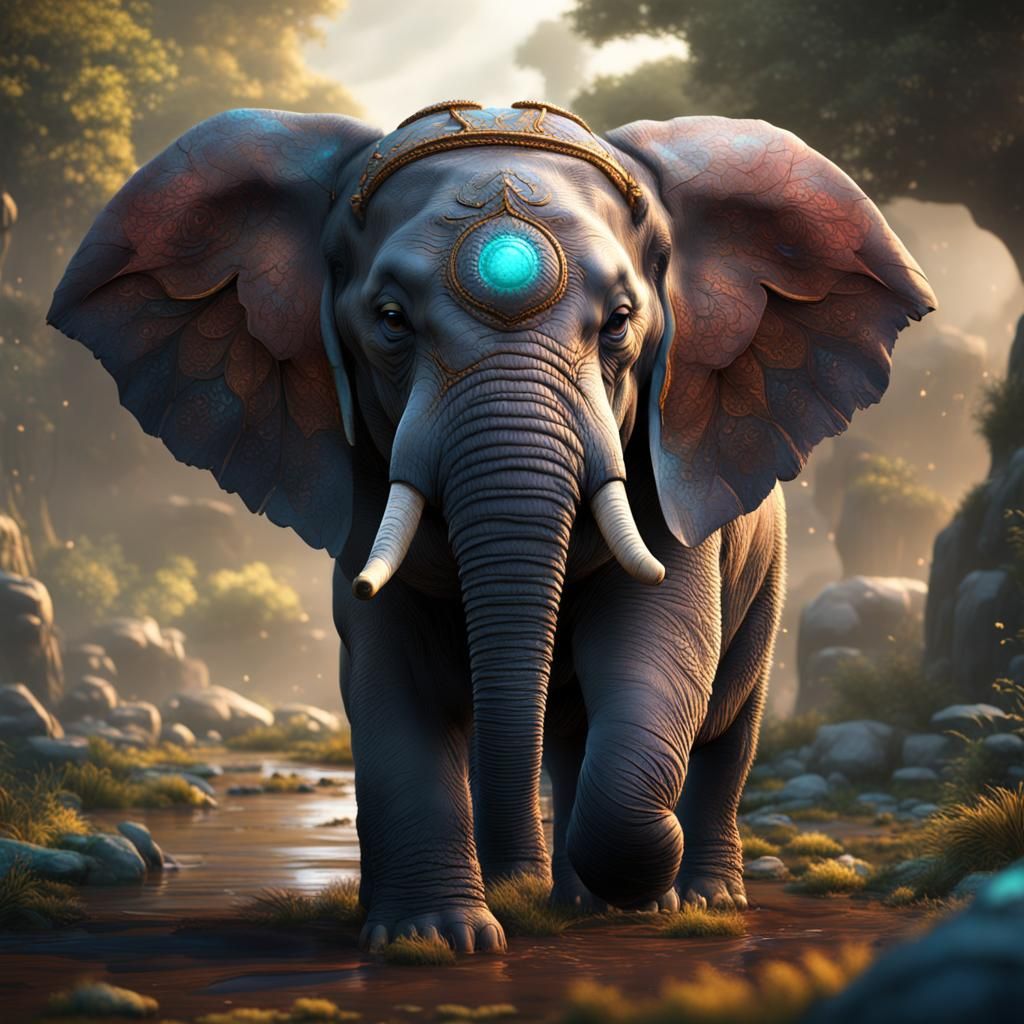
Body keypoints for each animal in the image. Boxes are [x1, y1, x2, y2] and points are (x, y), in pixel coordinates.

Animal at [48, 100, 935, 953]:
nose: (515, 890)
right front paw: (436, 939)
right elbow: (391, 681)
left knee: (722, 723)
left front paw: (634, 887)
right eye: (391, 318)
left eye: (620, 322)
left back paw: (691, 898)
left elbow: (654, 653)